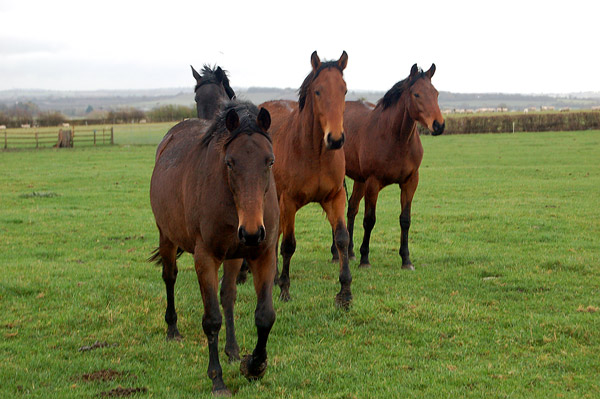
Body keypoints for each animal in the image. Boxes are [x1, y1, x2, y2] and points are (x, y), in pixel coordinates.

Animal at [150, 101, 282, 396]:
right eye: (229, 162)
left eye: (269, 160)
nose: (251, 232)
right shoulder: (206, 258)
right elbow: (211, 319)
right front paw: (217, 380)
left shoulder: (263, 254)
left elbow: (264, 316)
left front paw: (254, 366)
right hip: (167, 237)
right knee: (169, 277)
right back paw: (172, 329)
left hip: (233, 256)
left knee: (228, 295)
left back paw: (232, 350)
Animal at [260, 51, 354, 310]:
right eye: (318, 91)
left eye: (344, 90)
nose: (335, 139)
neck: (315, 153)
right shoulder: (289, 202)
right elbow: (288, 245)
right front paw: (284, 289)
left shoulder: (335, 198)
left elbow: (342, 239)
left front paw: (345, 292)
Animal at [332, 64, 446, 270]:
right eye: (416, 94)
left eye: (436, 93)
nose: (438, 125)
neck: (395, 138)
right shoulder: (373, 183)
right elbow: (369, 220)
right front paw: (365, 259)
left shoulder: (410, 182)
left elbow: (405, 220)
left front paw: (406, 259)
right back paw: (336, 255)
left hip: (359, 180)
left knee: (351, 208)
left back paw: (349, 252)